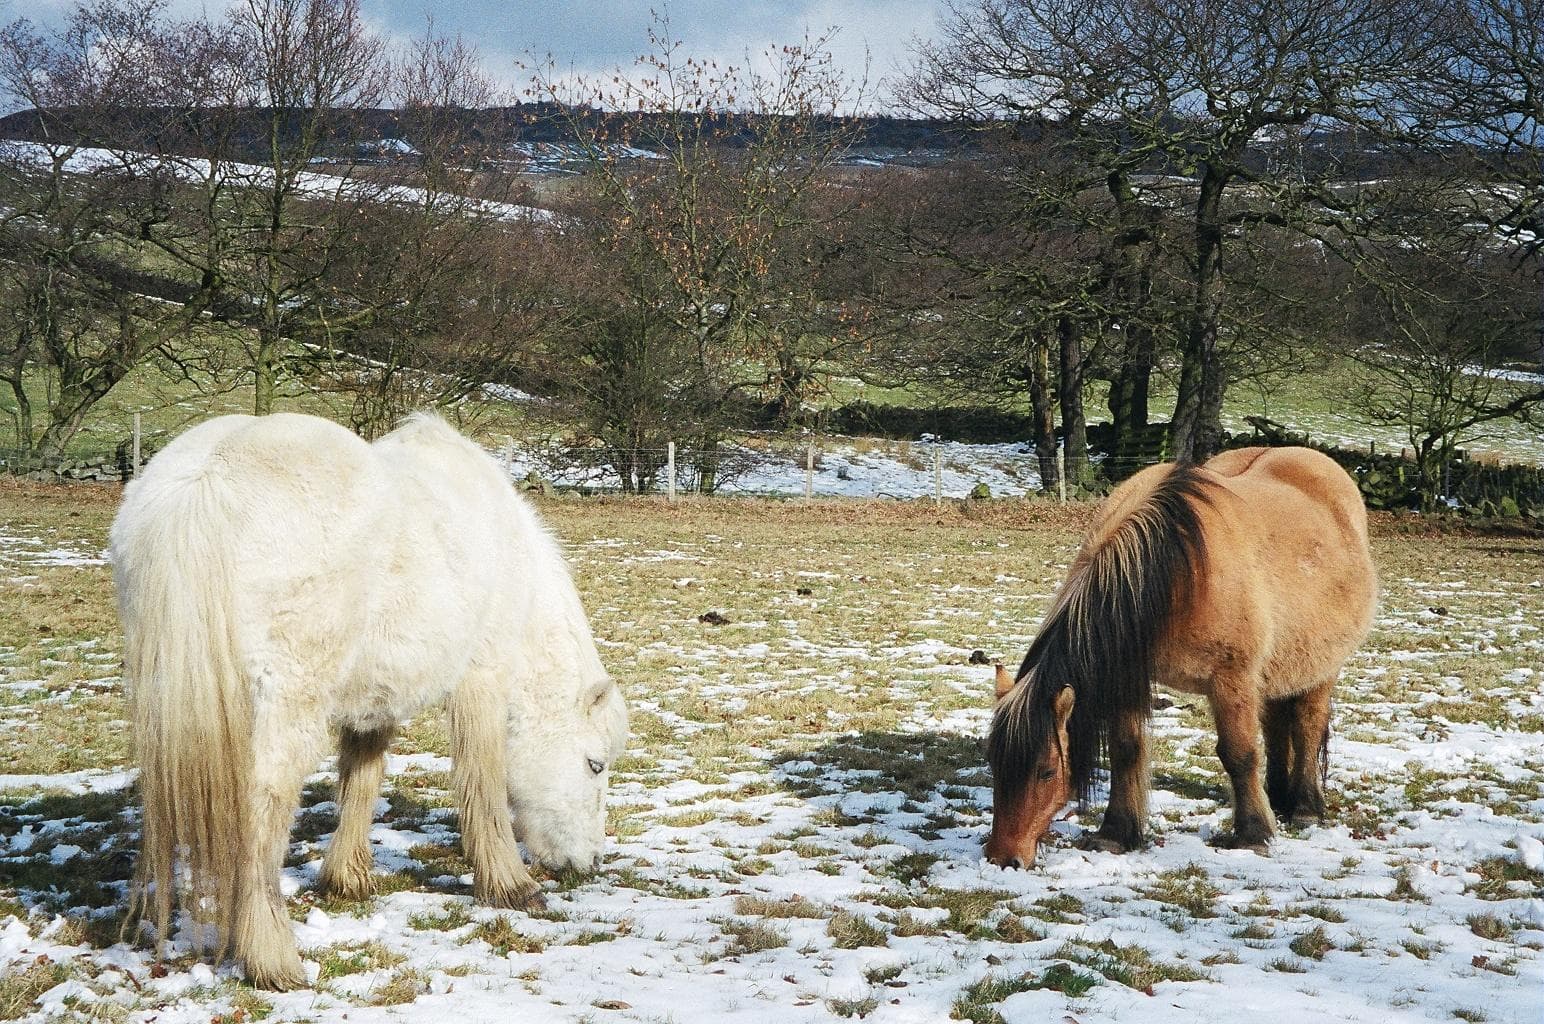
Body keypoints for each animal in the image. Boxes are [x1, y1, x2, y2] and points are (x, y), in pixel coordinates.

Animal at [110, 412, 628, 989]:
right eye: (595, 765)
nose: (589, 863)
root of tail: (206, 479)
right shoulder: (481, 681)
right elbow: (484, 783)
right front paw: (511, 887)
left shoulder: (373, 697)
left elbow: (362, 775)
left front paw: (347, 879)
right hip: (285, 708)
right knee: (263, 810)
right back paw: (273, 958)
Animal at [983, 446, 1376, 869]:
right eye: (994, 764)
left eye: (1045, 771)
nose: (1003, 858)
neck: (1179, 572)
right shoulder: (1129, 674)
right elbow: (1126, 752)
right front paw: (1115, 834)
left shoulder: (1232, 679)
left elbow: (1239, 754)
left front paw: (1253, 835)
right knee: (1275, 725)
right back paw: (1278, 796)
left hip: (1322, 668)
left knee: (1307, 724)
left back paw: (1304, 807)